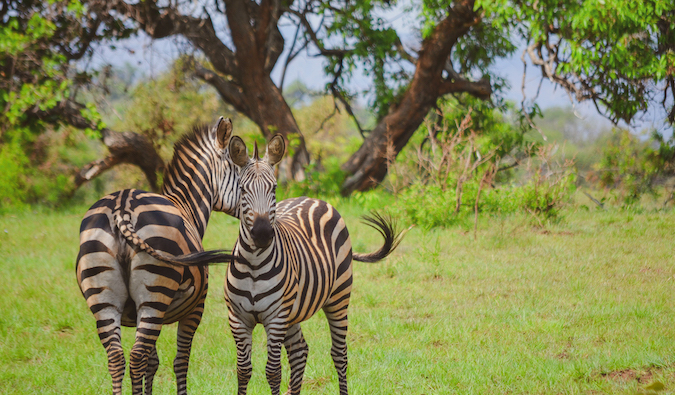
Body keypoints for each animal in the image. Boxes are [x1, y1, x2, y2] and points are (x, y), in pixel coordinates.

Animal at [76, 117, 239, 395]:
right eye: (244, 169)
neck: (185, 206)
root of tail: (122, 206)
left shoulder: (147, 315)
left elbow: (152, 362)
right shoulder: (195, 308)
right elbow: (180, 361)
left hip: (107, 299)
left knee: (117, 357)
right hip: (154, 295)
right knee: (135, 356)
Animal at [224, 135, 404, 395]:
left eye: (274, 188)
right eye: (242, 189)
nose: (262, 234)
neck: (254, 265)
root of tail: (311, 198)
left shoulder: (276, 318)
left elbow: (273, 372)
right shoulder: (238, 319)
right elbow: (243, 371)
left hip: (338, 298)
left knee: (339, 355)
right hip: (293, 311)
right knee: (300, 351)